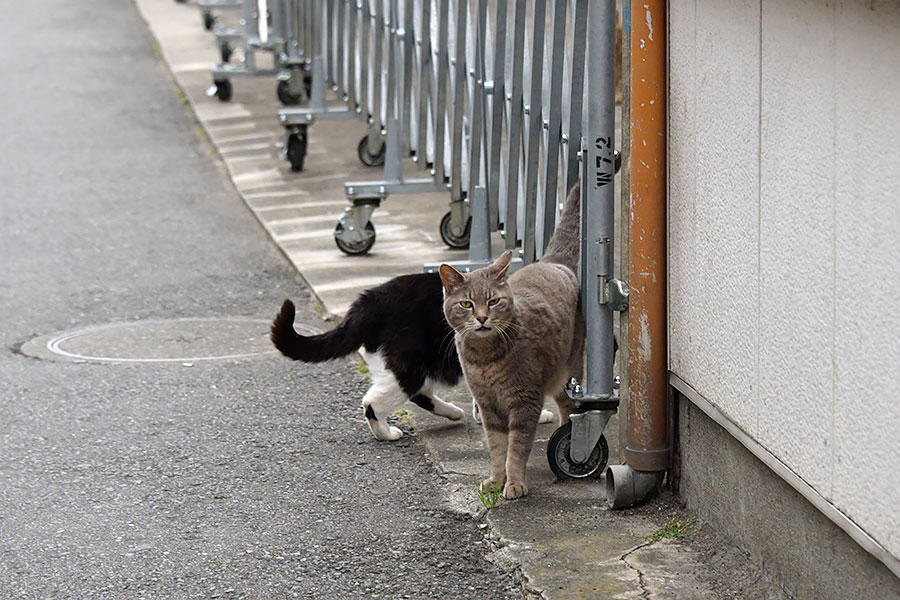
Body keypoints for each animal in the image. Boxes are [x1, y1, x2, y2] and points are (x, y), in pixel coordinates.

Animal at [438, 185, 584, 500]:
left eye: (493, 301)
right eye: (466, 304)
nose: (482, 318)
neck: (484, 359)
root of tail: (551, 262)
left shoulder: (524, 401)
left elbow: (516, 448)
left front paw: (514, 482)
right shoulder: (487, 406)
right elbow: (496, 447)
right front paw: (496, 479)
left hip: (574, 371)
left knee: (573, 408)